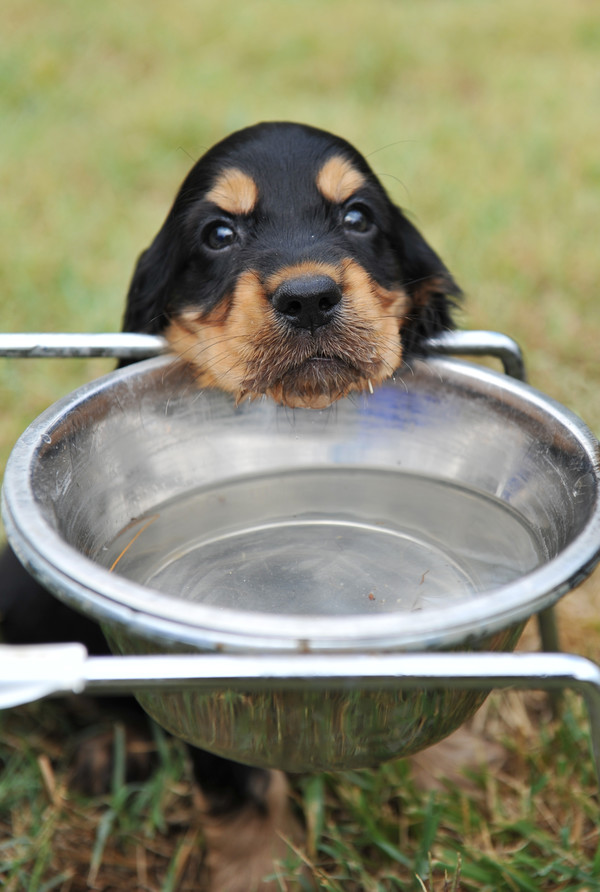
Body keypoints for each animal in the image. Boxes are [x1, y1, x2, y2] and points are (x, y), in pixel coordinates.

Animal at [1, 122, 460, 888]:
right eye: (218, 233)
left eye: (358, 218)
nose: (309, 297)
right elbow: (242, 785)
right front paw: (260, 872)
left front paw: (447, 781)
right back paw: (111, 751)